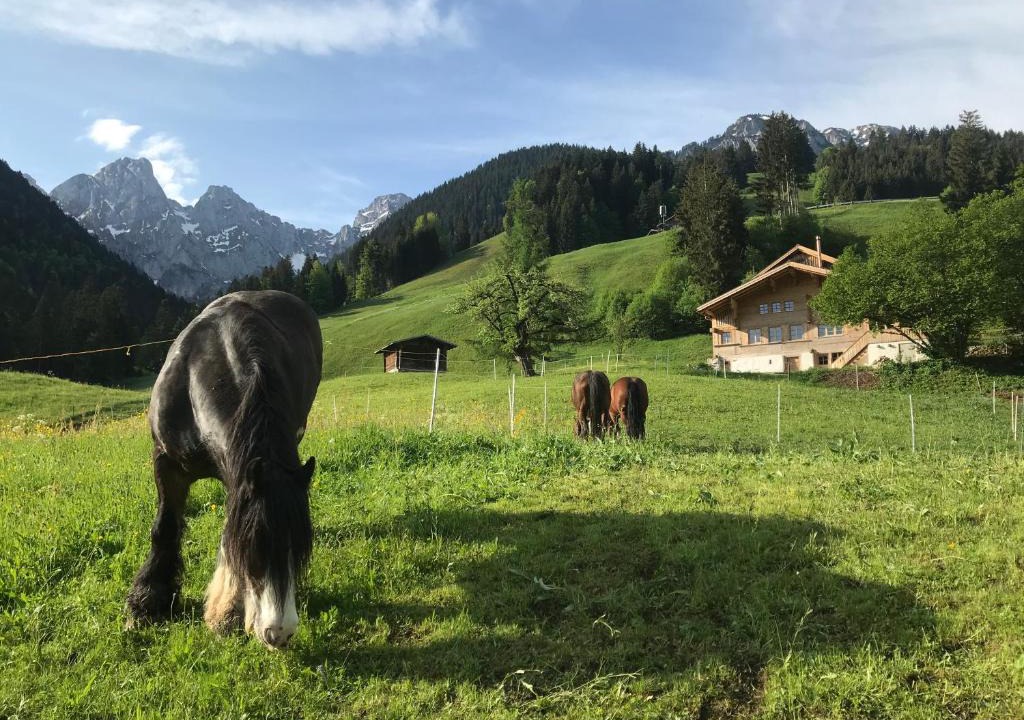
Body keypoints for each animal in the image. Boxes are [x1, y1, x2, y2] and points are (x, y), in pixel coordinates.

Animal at [126, 290, 323, 650]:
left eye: (299, 551)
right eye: (255, 549)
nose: (280, 633)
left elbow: (228, 530)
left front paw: (227, 609)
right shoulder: (167, 462)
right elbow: (165, 527)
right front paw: (147, 601)